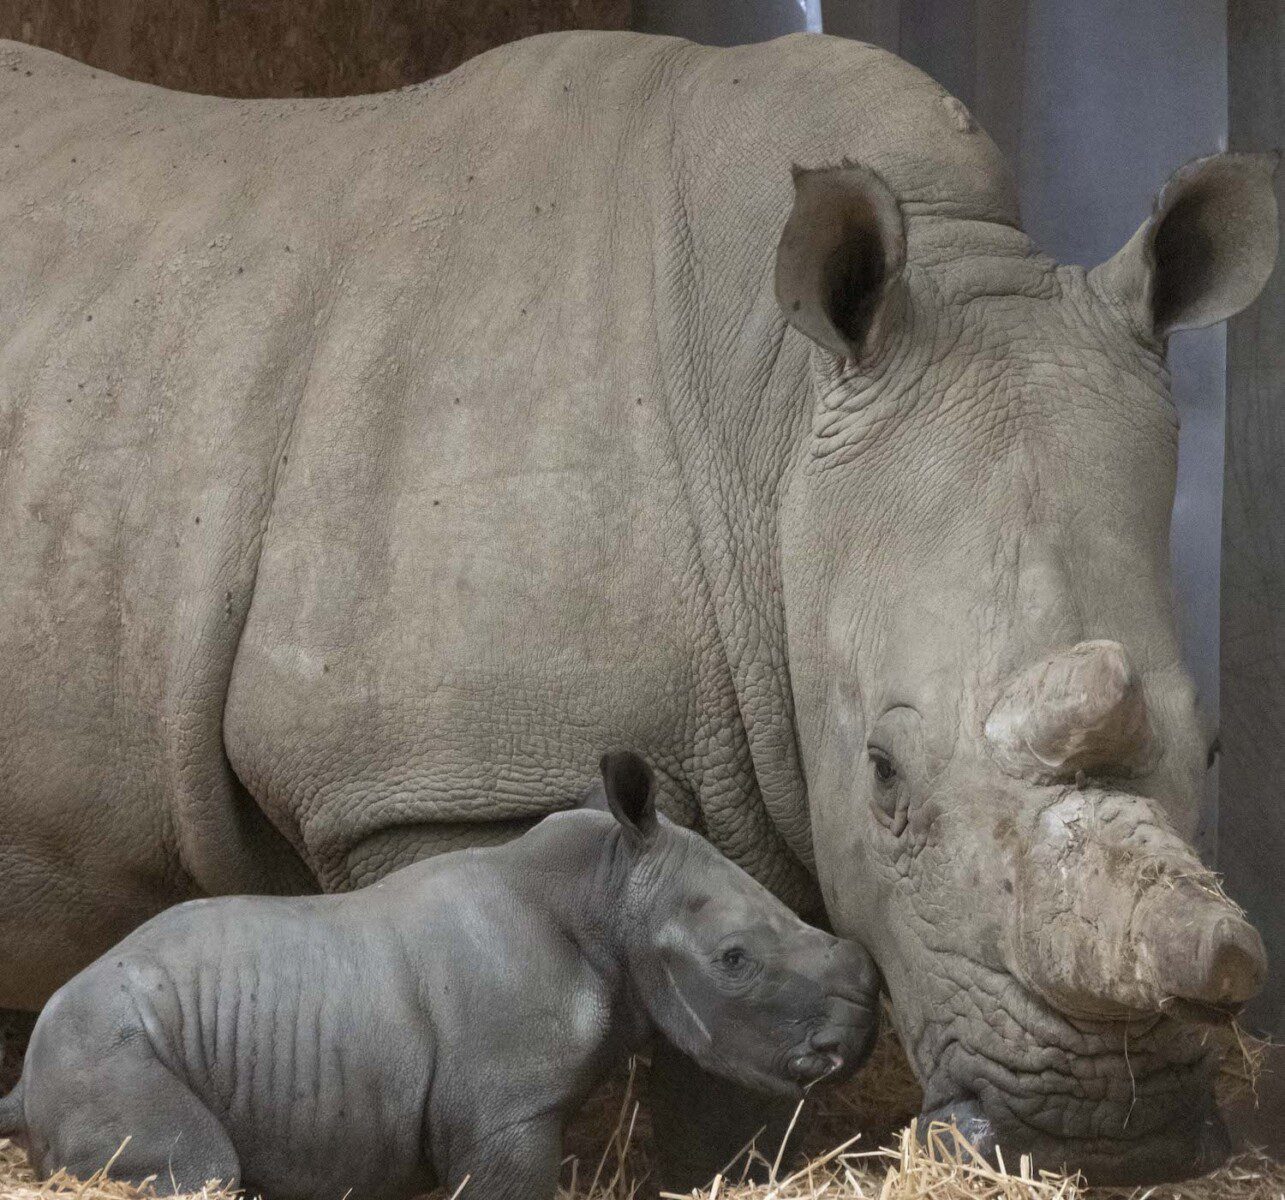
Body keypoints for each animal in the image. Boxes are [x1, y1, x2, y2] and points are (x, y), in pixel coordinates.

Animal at [0, 27, 1278, 1187]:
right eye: (883, 777)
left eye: (1215, 747)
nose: (1107, 1137)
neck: (773, 422)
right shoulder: (432, 779)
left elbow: (733, 1020)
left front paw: (730, 1172)